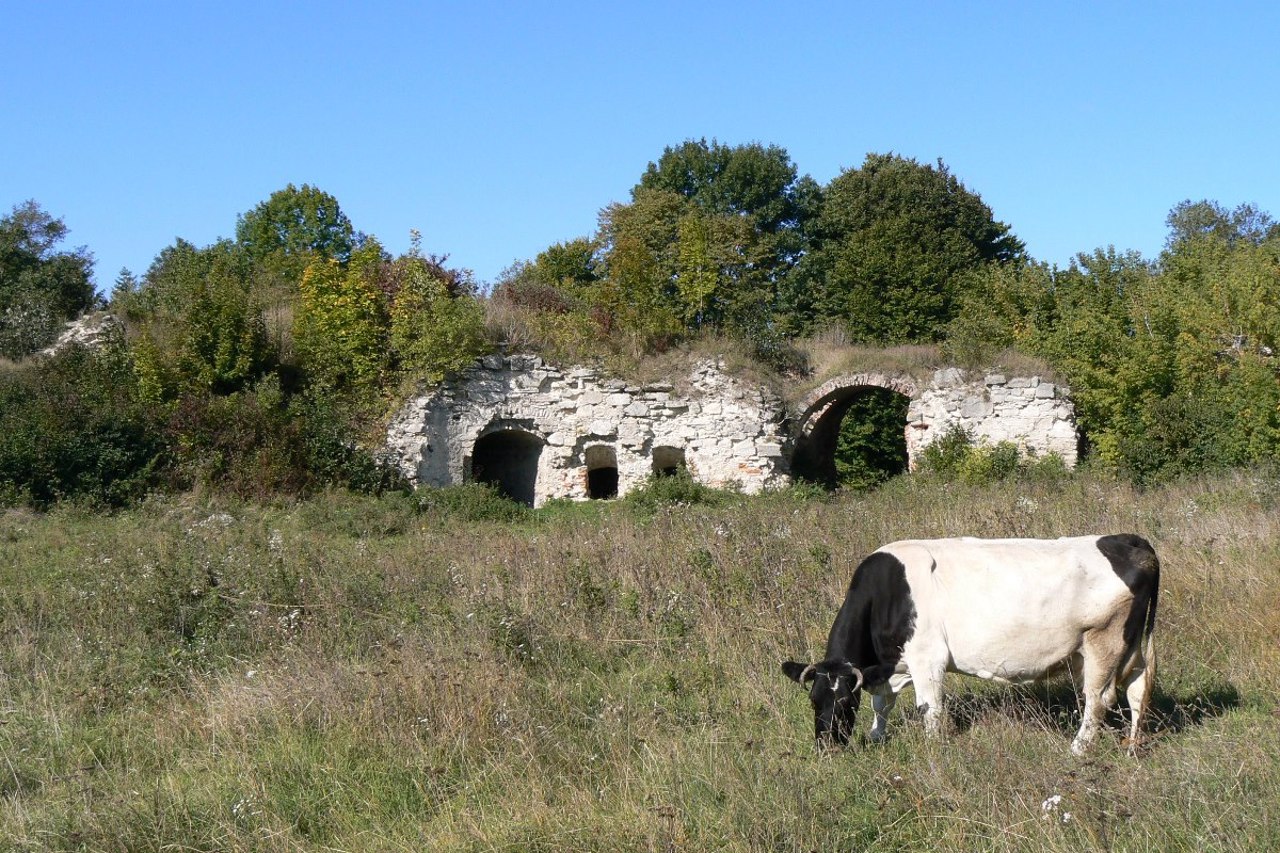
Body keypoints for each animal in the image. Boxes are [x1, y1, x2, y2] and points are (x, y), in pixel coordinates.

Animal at [778, 532, 1162, 753]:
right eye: (813, 701)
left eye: (845, 702)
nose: (826, 748)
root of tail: (1129, 539)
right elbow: (882, 704)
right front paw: (876, 736)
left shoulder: (927, 658)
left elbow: (930, 710)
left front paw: (934, 752)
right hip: (1133, 646)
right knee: (1138, 688)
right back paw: (1131, 748)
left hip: (1104, 641)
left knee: (1098, 700)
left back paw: (1078, 749)